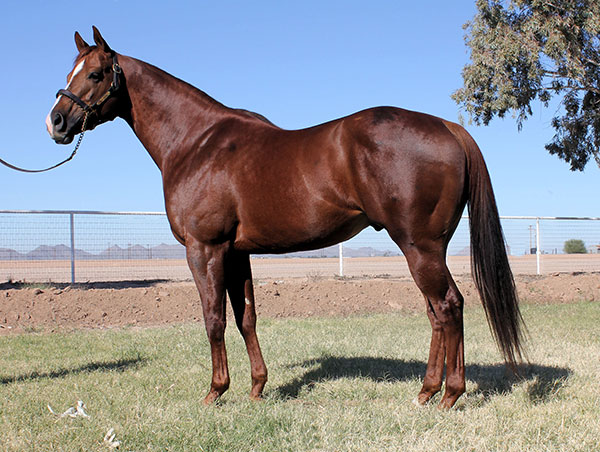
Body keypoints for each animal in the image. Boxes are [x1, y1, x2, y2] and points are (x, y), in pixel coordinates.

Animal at [48, 28, 524, 410]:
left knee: (448, 307)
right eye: (69, 71)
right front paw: (257, 388)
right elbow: (246, 318)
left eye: (95, 74)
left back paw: (449, 395)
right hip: (425, 248)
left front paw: (215, 392)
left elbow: (214, 319)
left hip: (418, 246)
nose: (56, 122)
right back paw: (426, 391)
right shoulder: (236, 253)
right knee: (436, 313)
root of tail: (449, 128)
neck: (197, 143)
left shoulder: (205, 249)